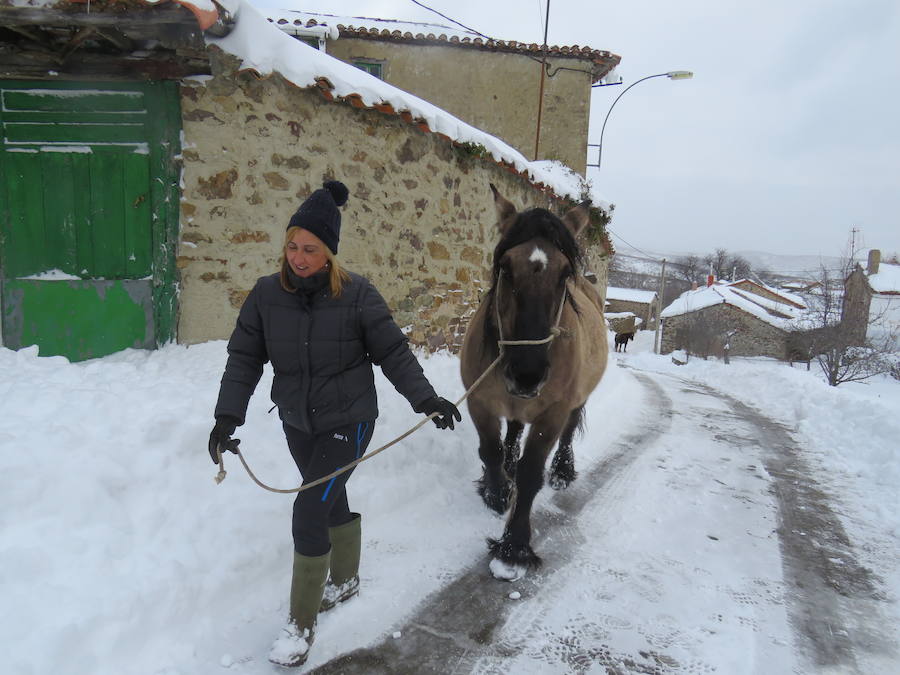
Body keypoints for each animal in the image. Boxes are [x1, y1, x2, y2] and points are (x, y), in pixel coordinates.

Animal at [460, 184, 608, 580]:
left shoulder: (551, 415)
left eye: (564, 273)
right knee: (512, 429)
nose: (527, 373)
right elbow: (491, 450)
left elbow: (531, 473)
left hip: (575, 401)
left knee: (569, 432)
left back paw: (562, 470)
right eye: (505, 268)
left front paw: (513, 547)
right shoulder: (479, 402)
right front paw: (496, 493)